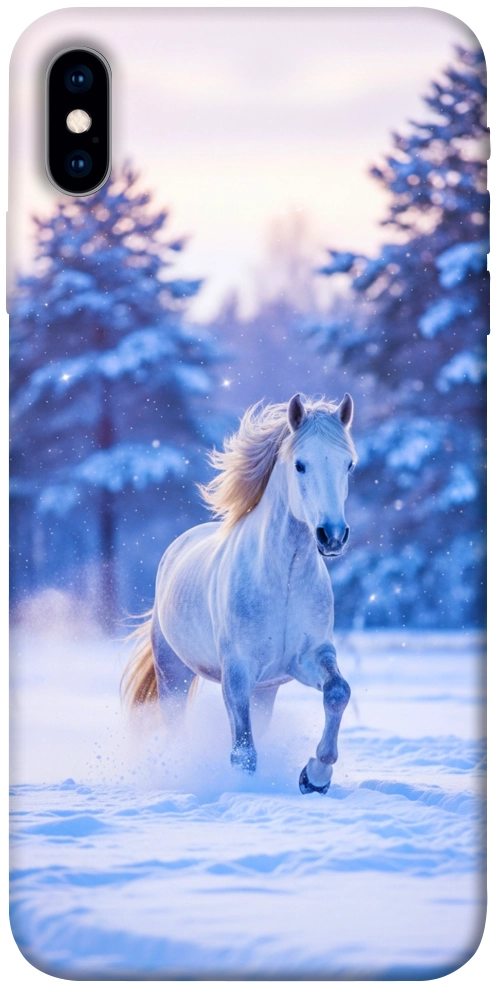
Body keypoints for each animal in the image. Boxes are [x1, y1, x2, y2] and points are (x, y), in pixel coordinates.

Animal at [122, 392, 357, 794]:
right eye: (300, 464)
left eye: (349, 465)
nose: (332, 536)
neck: (283, 581)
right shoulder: (237, 672)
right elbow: (243, 752)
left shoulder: (308, 658)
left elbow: (338, 692)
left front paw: (315, 777)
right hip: (174, 674)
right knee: (176, 727)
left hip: (265, 690)